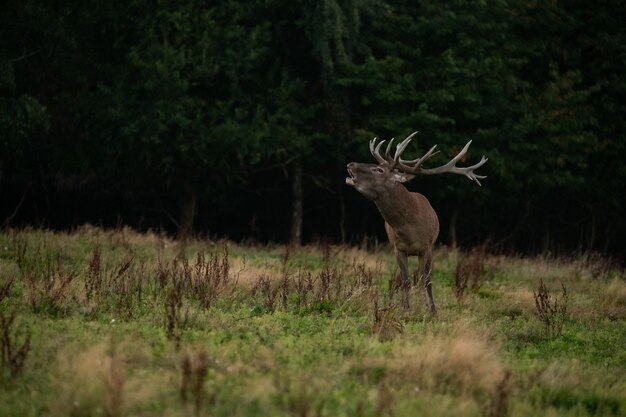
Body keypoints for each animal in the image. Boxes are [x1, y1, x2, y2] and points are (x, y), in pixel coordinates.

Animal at [344, 132, 486, 314]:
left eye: (379, 170)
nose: (350, 164)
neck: (409, 230)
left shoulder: (427, 247)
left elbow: (426, 280)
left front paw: (432, 311)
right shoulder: (397, 248)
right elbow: (405, 280)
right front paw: (405, 309)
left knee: (421, 277)